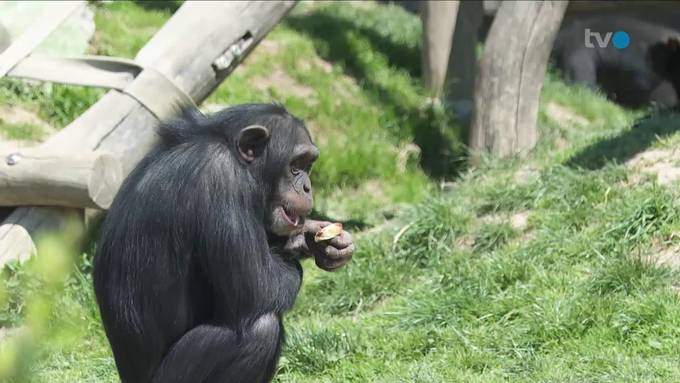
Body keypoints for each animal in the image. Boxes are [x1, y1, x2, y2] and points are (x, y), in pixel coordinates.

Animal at [92, 104, 354, 383]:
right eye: (295, 165)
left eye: (308, 165)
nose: (306, 186)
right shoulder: (222, 179)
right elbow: (261, 285)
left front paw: (318, 240)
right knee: (262, 328)